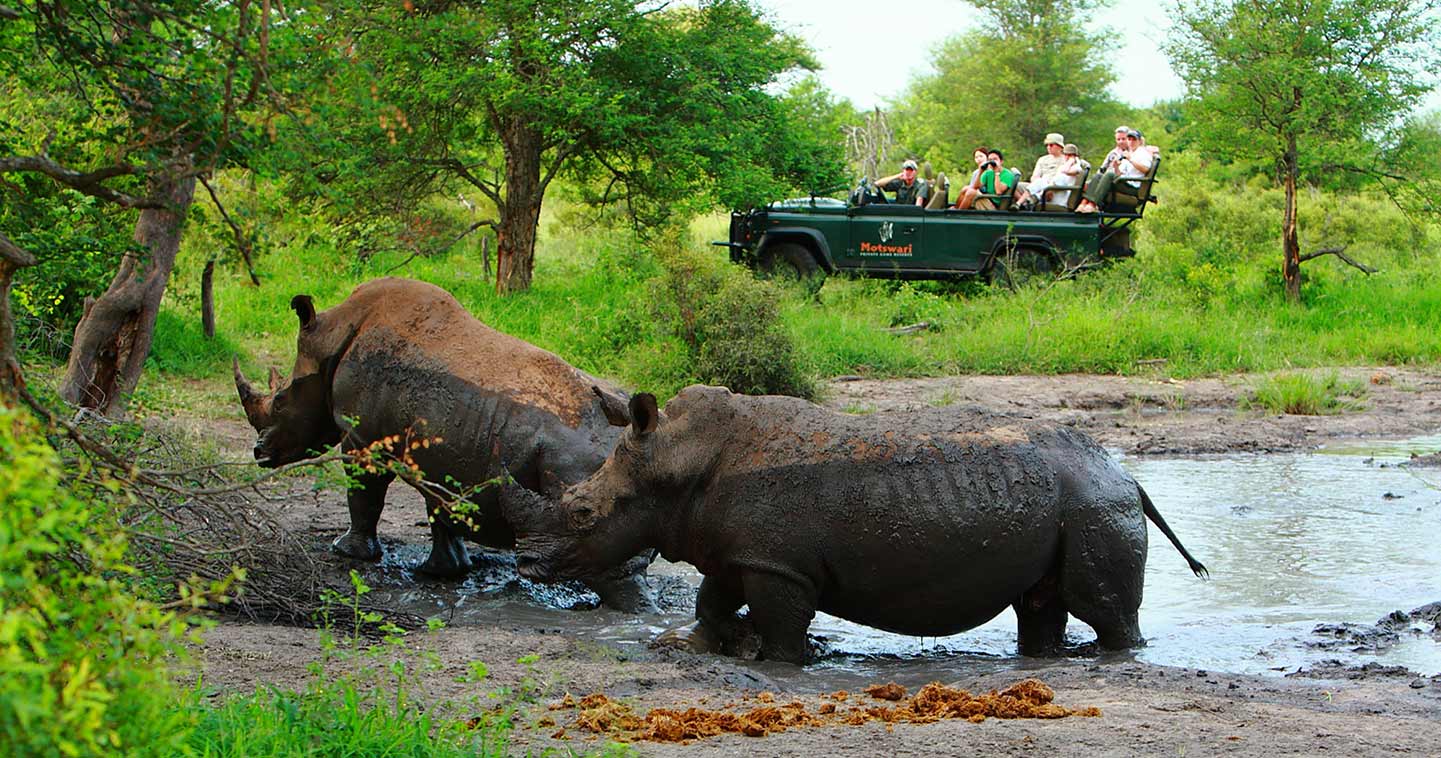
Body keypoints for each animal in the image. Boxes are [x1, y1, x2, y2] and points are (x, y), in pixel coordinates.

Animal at [233, 277, 652, 612]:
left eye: (280, 401)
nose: (258, 452)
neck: (333, 337)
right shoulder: (447, 451)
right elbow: (441, 509)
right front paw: (443, 571)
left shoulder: (362, 439)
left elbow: (364, 495)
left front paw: (346, 551)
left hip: (578, 463)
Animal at [507, 385, 1208, 664]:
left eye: (583, 514)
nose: (525, 560)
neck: (676, 458)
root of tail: (1125, 473)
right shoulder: (740, 551)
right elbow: (712, 600)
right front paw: (700, 645)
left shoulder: (778, 565)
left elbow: (781, 626)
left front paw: (779, 662)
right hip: (1072, 499)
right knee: (1040, 602)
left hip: (1094, 504)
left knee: (1104, 607)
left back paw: (1117, 654)